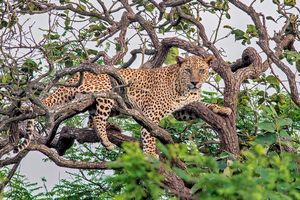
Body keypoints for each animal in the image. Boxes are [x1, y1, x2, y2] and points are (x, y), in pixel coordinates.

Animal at [15, 55, 232, 157]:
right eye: (188, 70)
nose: (195, 82)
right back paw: (106, 140)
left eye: (202, 70)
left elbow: (202, 105)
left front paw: (223, 108)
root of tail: (74, 77)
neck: (183, 88)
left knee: (91, 118)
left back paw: (112, 127)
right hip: (106, 94)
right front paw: (151, 154)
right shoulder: (151, 113)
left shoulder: (180, 110)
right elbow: (149, 133)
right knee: (98, 119)